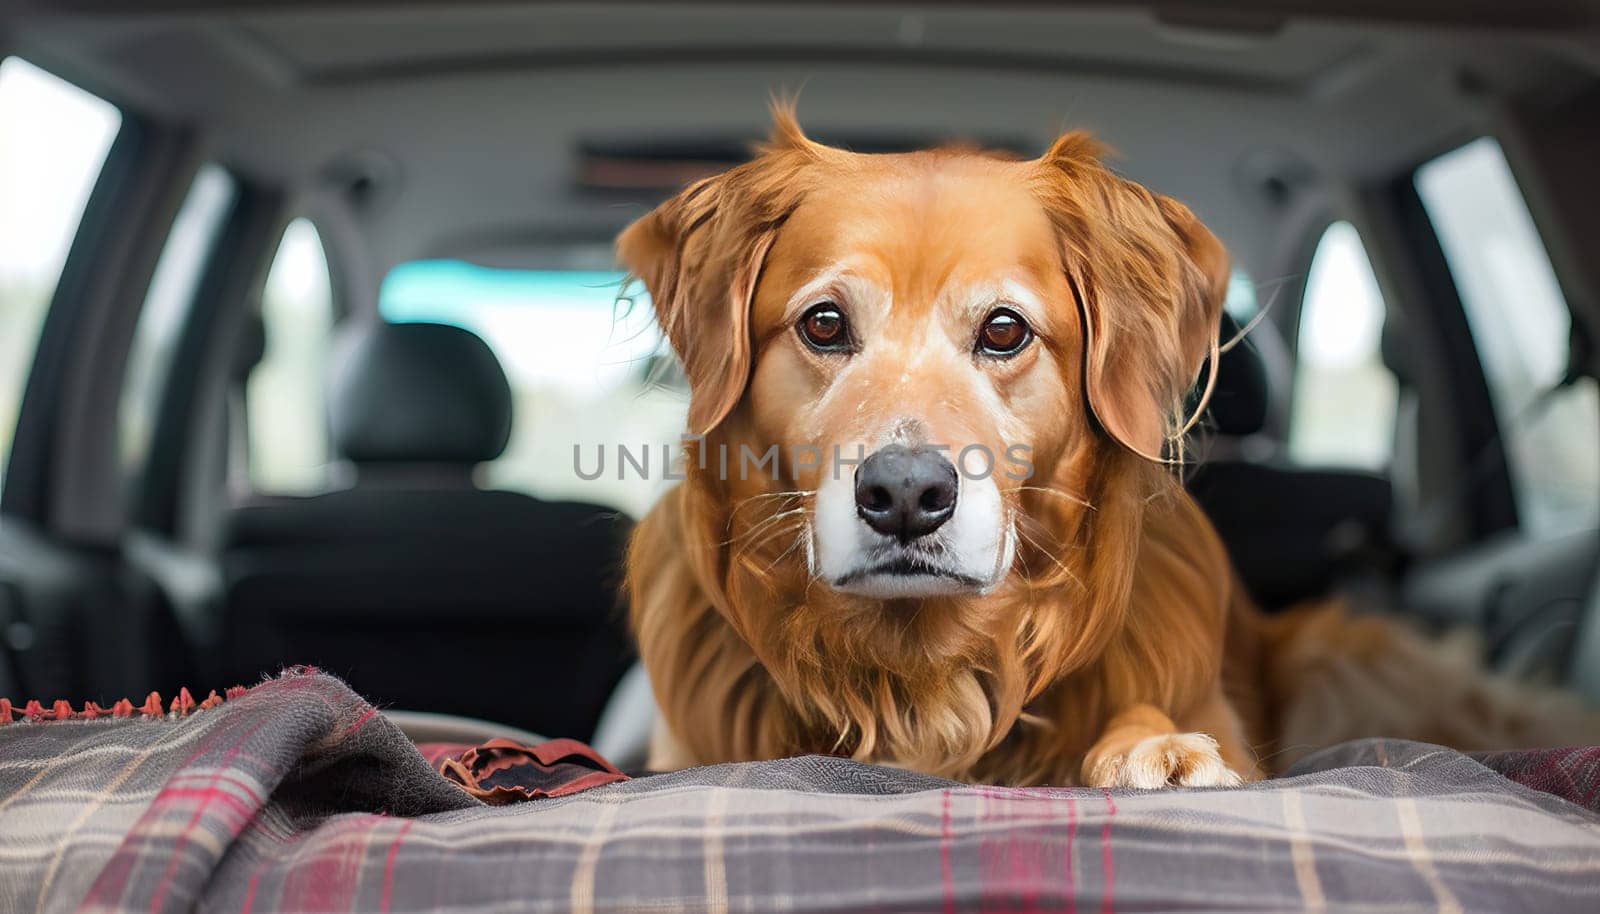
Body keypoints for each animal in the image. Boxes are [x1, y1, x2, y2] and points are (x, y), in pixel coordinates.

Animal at [614, 111, 1600, 790]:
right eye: (824, 323)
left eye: (1004, 330)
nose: (904, 495)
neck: (927, 673)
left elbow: (1153, 717)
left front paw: (1153, 746)